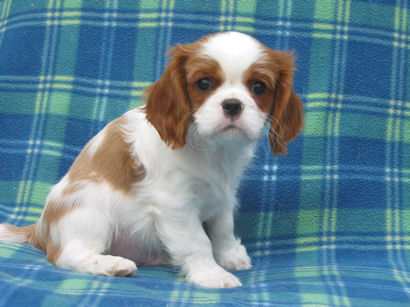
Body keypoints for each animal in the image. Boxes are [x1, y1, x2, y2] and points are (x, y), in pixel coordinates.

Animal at [0, 31, 302, 288]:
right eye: (204, 83)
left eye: (259, 87)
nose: (232, 105)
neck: (214, 150)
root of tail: (41, 228)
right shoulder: (176, 204)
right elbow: (197, 241)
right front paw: (211, 274)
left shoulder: (224, 196)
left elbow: (223, 228)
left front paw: (229, 256)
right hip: (89, 210)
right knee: (66, 255)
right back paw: (112, 265)